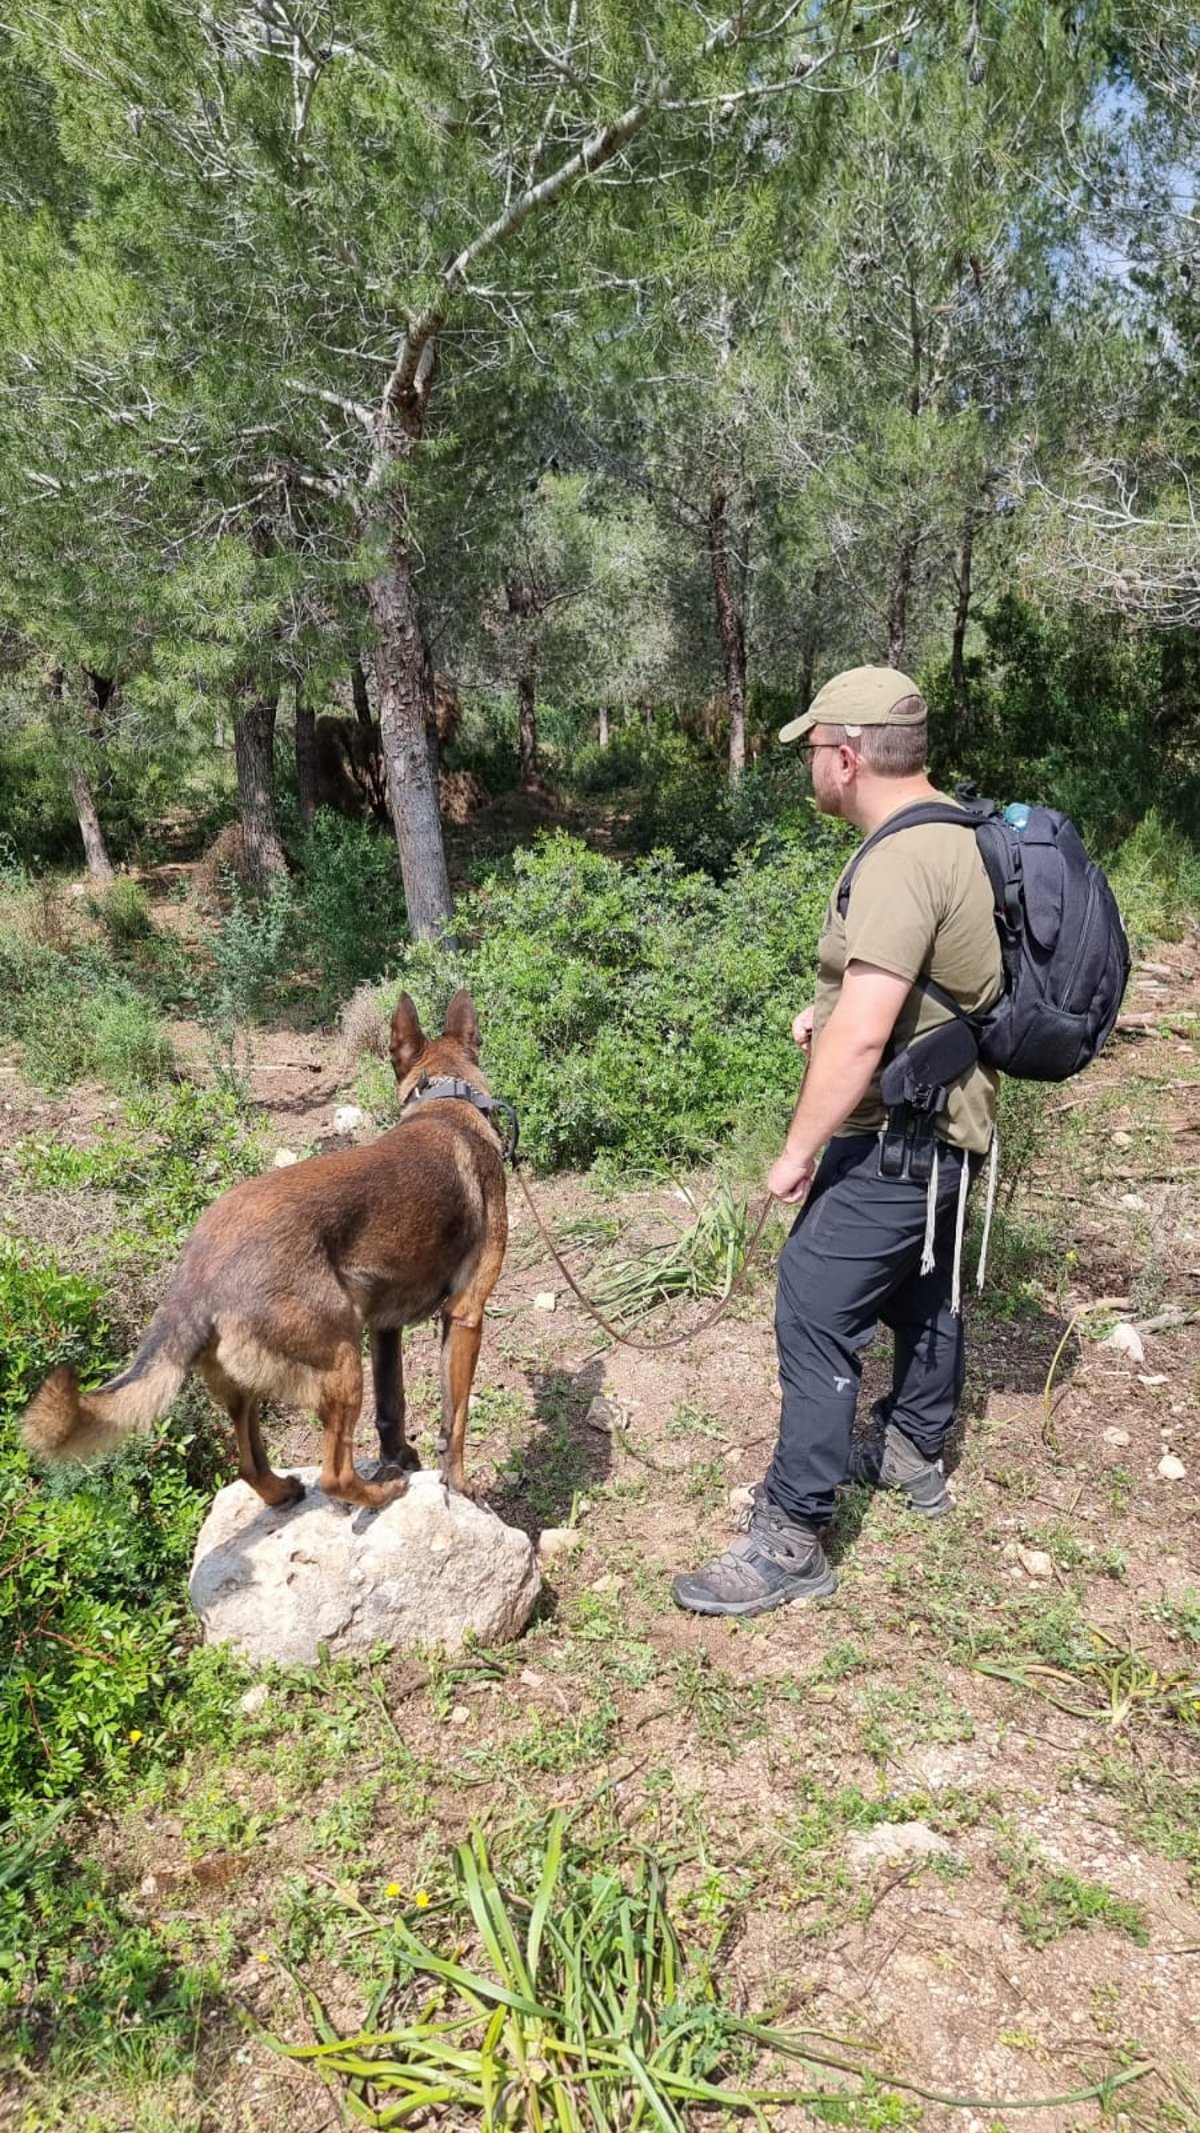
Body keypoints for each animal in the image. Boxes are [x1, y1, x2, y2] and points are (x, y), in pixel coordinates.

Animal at [19, 989, 507, 1510]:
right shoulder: (466, 1314)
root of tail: (197, 1276)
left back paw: (285, 1490)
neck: (447, 1103)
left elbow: (392, 1406)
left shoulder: (385, 1328)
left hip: (247, 1384)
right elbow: (455, 1420)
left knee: (250, 1464)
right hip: (341, 1361)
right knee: (333, 1474)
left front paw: (402, 1456)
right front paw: (458, 1483)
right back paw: (381, 1492)